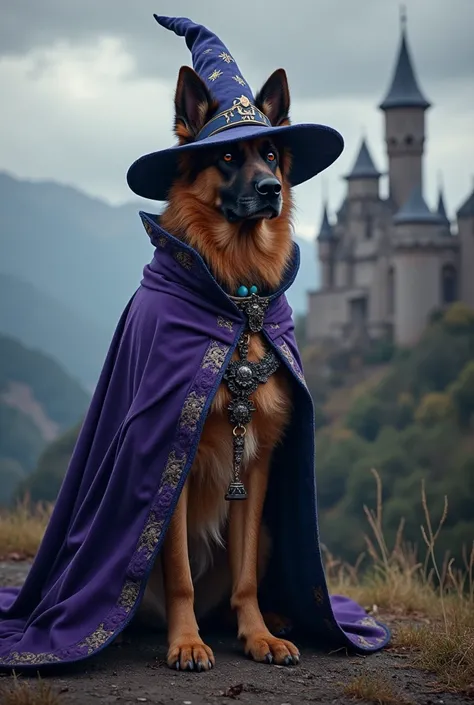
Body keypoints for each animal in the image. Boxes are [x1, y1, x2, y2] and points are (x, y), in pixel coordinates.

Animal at [139, 64, 300, 672]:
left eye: (271, 155)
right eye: (229, 156)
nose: (270, 189)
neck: (238, 296)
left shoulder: (255, 466)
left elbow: (246, 575)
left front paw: (258, 636)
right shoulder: (172, 461)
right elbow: (180, 573)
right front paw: (186, 643)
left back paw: (273, 619)